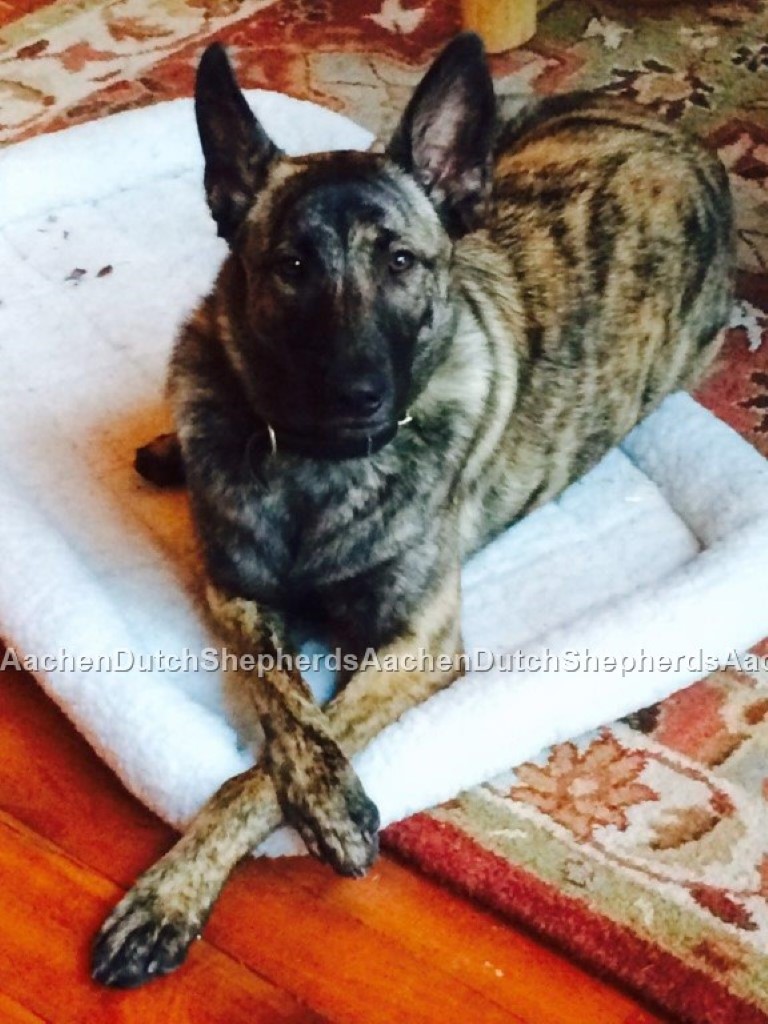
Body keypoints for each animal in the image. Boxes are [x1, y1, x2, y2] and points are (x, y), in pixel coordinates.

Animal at [90, 36, 733, 987]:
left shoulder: (417, 642)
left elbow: (276, 759)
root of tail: (679, 138)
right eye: (291, 267)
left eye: (401, 263)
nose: (358, 396)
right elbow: (287, 709)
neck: (315, 464)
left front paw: (217, 868)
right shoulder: (237, 594)